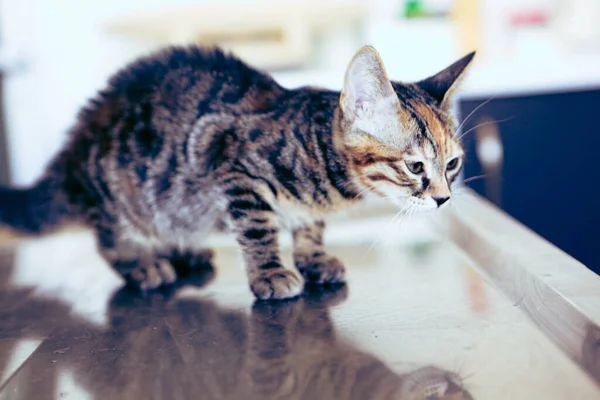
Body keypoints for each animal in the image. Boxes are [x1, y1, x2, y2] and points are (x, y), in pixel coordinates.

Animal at [0, 45, 474, 298]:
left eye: (452, 164)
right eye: (415, 166)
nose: (444, 198)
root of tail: (73, 147)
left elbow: (309, 227)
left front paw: (314, 258)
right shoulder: (231, 167)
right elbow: (257, 229)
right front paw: (270, 273)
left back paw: (184, 251)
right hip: (118, 194)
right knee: (109, 238)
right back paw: (144, 264)